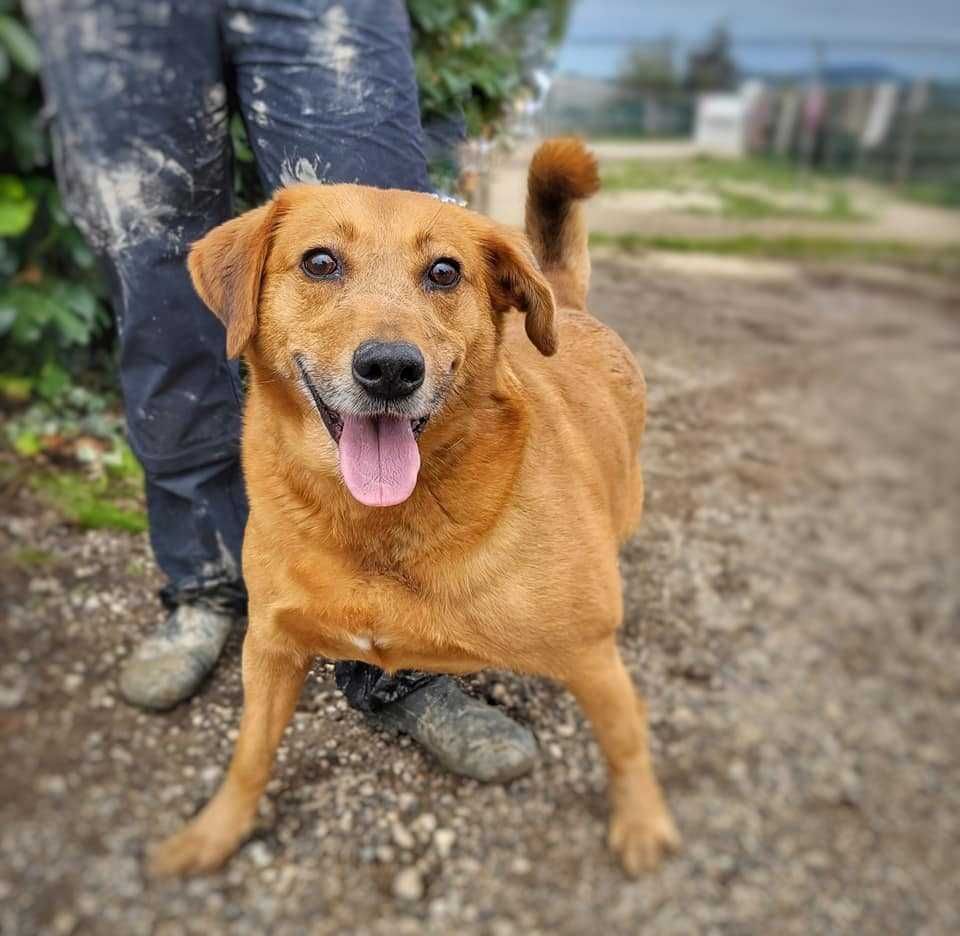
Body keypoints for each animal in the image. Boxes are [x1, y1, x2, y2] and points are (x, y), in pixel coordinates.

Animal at [150, 139, 680, 876]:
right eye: (319, 262)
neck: (379, 523)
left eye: (444, 272)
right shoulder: (272, 646)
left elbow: (627, 741)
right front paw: (214, 832)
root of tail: (566, 305)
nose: (392, 369)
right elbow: (250, 753)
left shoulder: (591, 654)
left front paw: (643, 823)